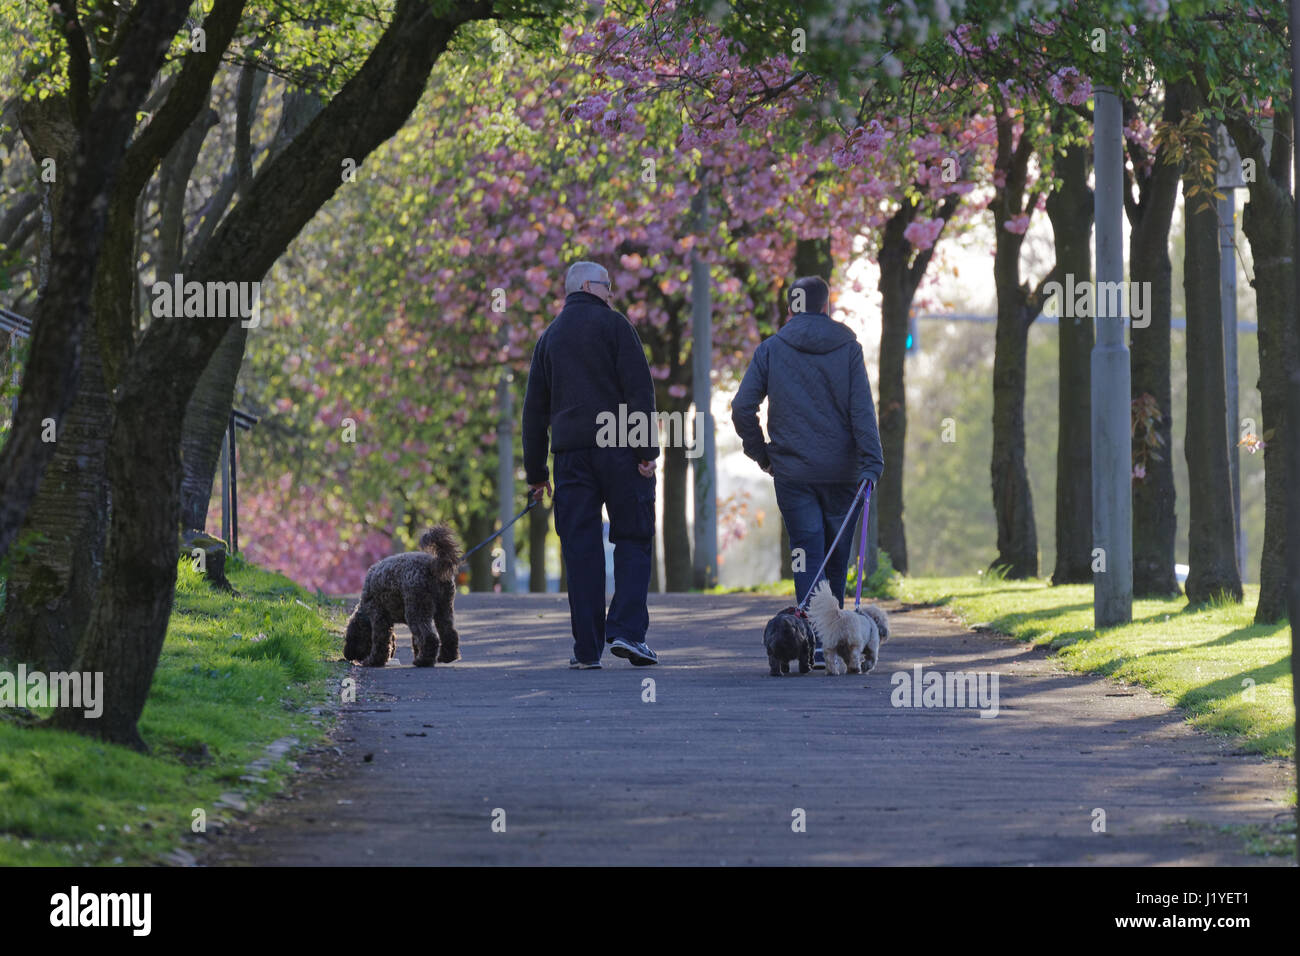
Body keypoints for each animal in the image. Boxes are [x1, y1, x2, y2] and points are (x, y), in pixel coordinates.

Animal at [345, 528, 462, 671]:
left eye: (350, 639)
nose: (347, 655)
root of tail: (432, 565)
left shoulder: (379, 617)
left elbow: (380, 641)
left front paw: (373, 661)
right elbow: (416, 641)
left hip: (416, 611)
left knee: (430, 638)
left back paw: (423, 661)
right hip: (443, 609)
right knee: (449, 633)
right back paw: (447, 657)